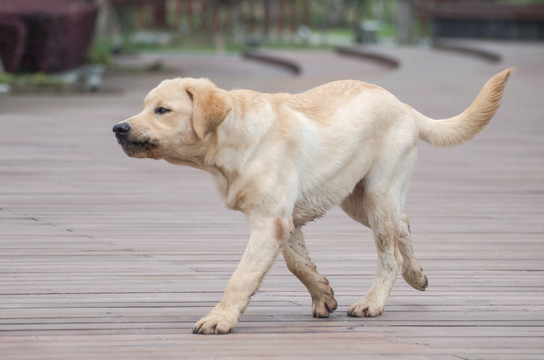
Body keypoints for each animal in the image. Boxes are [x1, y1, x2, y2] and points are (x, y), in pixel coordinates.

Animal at [112, 68, 512, 334]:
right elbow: (297, 263)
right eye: (144, 107)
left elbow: (241, 277)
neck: (234, 138)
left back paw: (373, 302)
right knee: (405, 224)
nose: (119, 128)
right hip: (358, 198)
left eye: (162, 110)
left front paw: (219, 318)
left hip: (378, 194)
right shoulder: (285, 219)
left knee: (390, 255)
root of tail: (403, 105)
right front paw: (323, 295)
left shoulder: (270, 220)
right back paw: (418, 275)